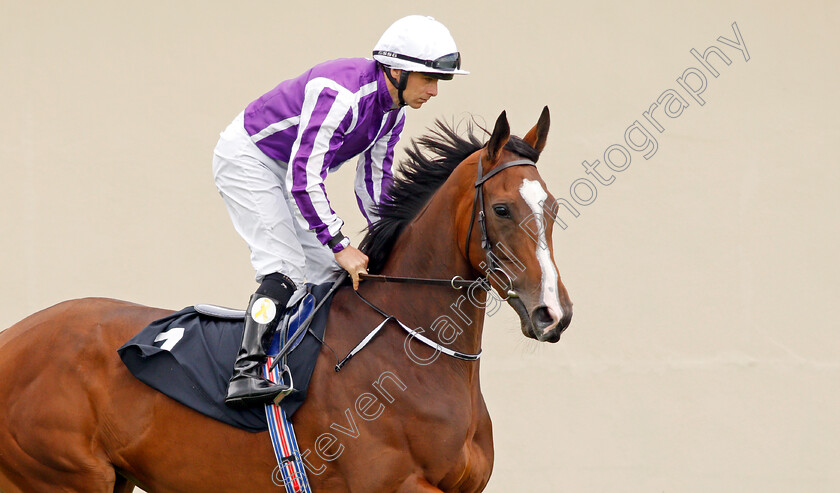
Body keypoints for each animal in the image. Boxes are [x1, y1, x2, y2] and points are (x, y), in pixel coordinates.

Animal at [0, 107, 572, 492]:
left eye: (553, 208)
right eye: (501, 209)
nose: (554, 314)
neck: (408, 352)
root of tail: (13, 339)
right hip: (60, 476)